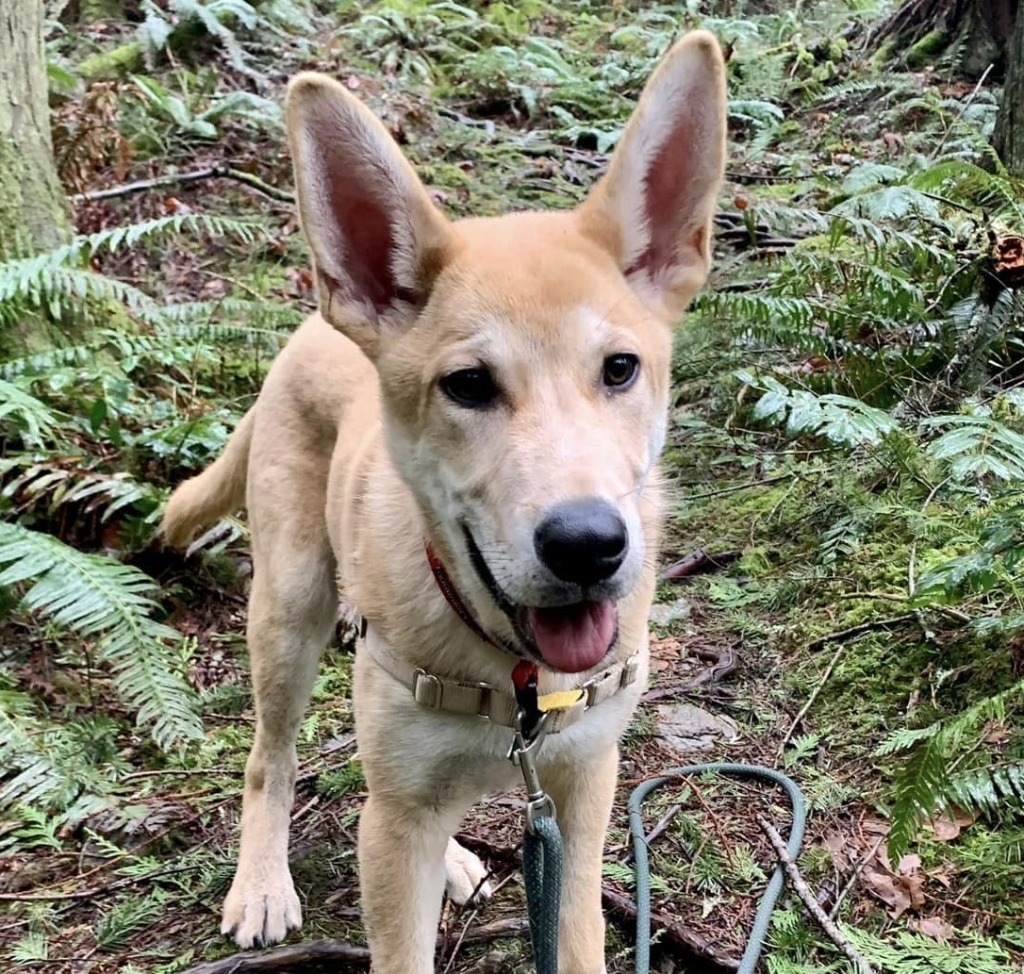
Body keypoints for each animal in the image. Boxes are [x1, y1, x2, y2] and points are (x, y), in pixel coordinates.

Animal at [163, 26, 724, 970]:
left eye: (620, 369)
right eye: (467, 385)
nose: (587, 545)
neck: (519, 678)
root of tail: (317, 320)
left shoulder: (582, 797)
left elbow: (574, 935)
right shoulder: (395, 829)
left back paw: (457, 858)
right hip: (289, 610)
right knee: (270, 758)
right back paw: (263, 883)